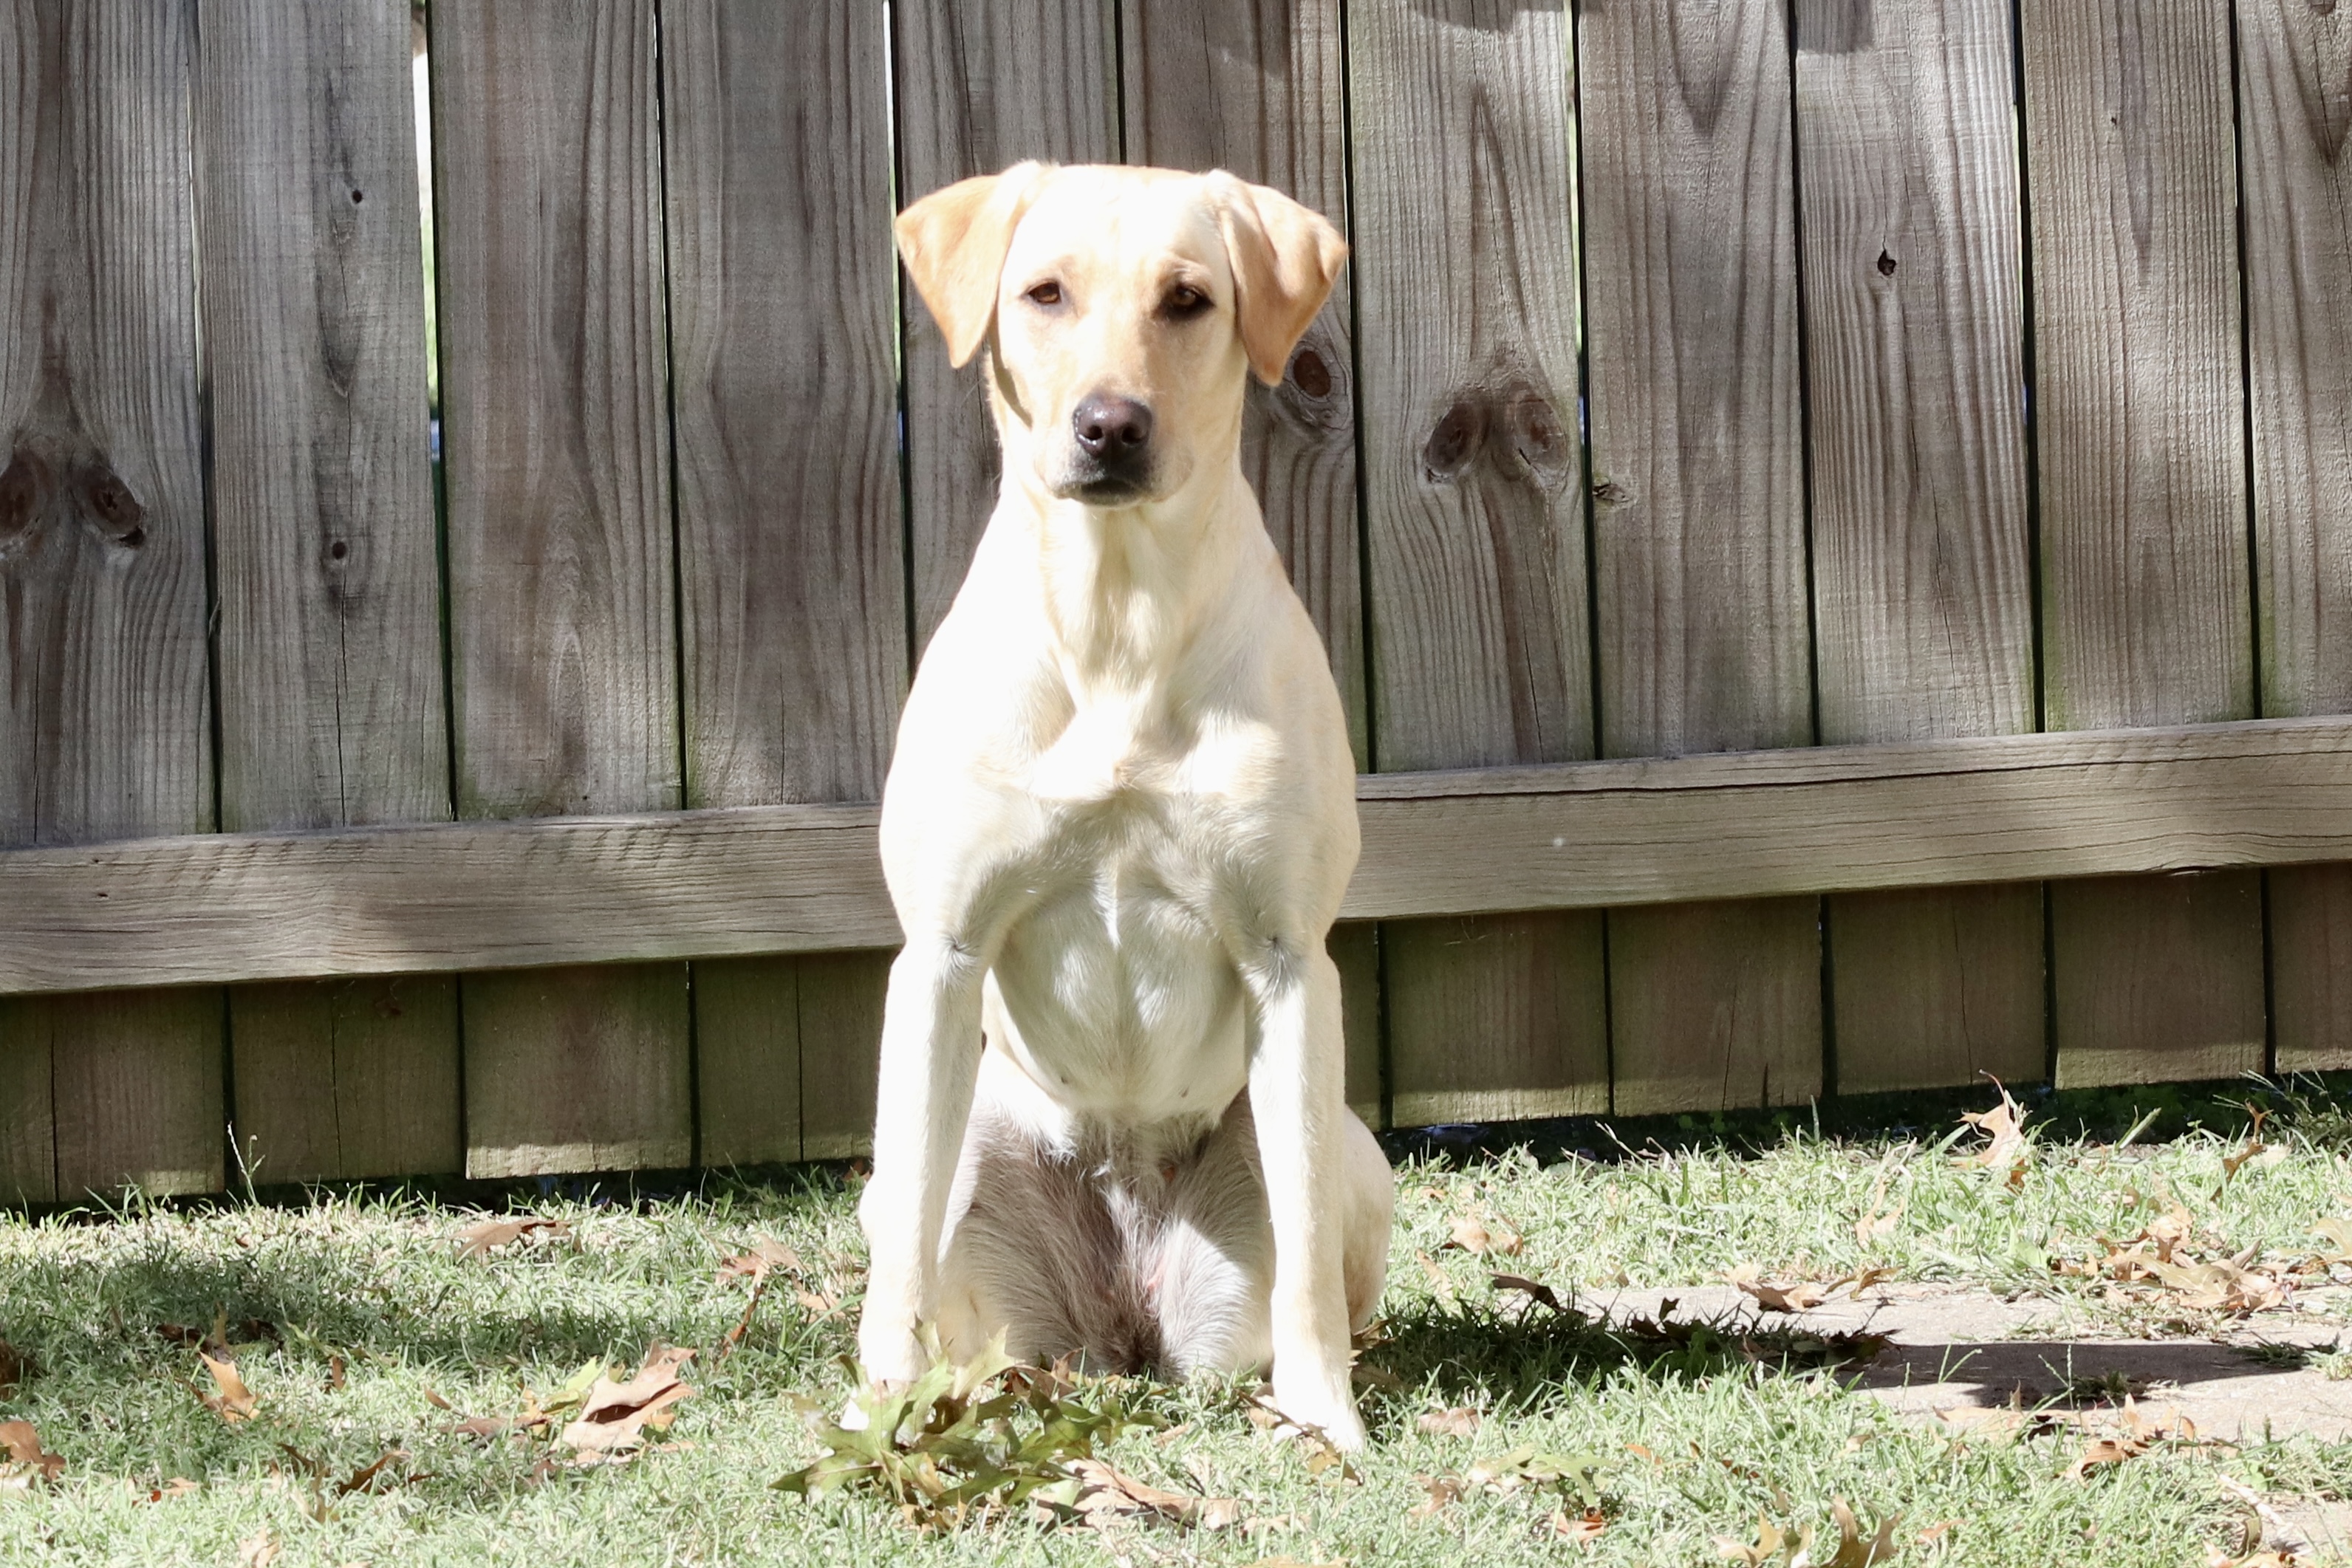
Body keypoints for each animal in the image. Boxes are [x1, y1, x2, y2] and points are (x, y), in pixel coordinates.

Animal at [855, 162, 1383, 1448]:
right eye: (1044, 292)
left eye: (1188, 299)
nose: (1111, 424)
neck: (1117, 620)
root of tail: (1123, 1317)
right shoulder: (939, 954)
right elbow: (900, 1265)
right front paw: (879, 1402)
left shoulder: (1291, 962)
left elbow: (1305, 1261)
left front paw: (1325, 1414)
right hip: (942, 1160)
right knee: (922, 1227)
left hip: (1351, 1144)